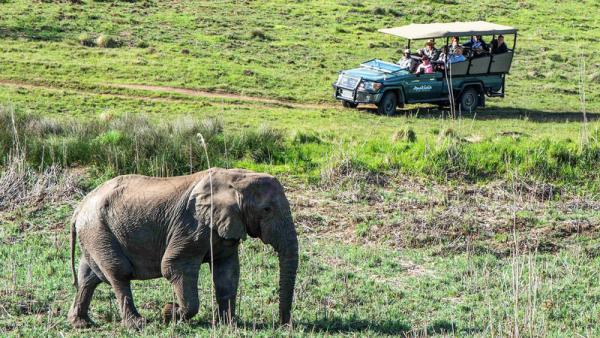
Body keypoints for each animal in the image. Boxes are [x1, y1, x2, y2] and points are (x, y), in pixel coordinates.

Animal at [67, 168, 298, 328]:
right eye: (267, 209)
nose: (283, 325)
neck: (235, 177)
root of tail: (79, 208)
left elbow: (227, 273)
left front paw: (228, 324)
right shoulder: (191, 226)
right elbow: (174, 266)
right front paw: (169, 313)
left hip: (95, 234)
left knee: (89, 276)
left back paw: (81, 323)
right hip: (98, 230)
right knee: (118, 272)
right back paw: (137, 325)